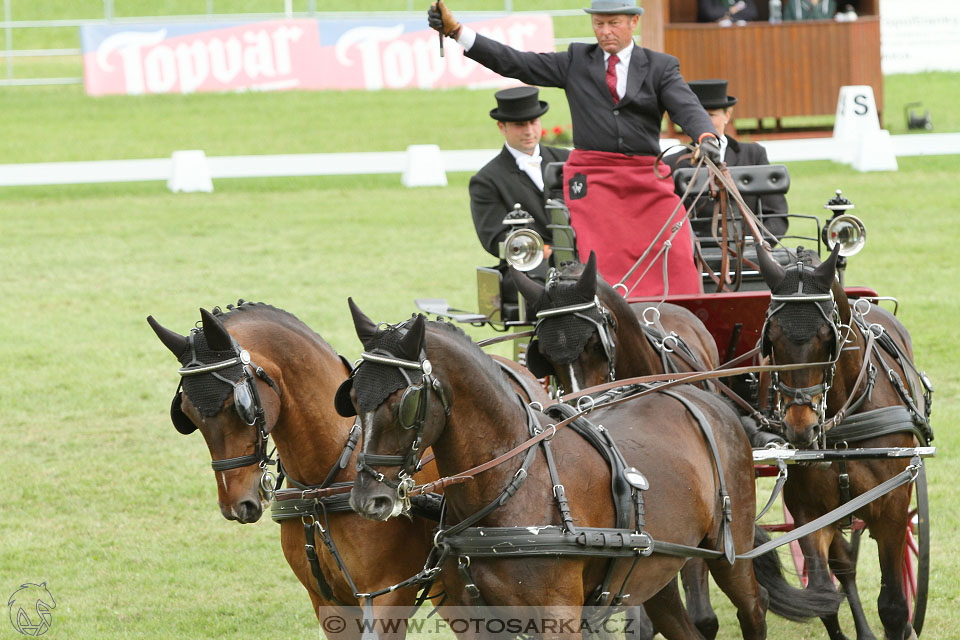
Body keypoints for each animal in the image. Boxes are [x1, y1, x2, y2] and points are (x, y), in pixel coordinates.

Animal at [340, 302, 840, 640]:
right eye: (352, 397)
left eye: (404, 404)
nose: (369, 500)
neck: (513, 484)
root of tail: (707, 399)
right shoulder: (478, 620)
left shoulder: (559, 617)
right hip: (652, 568)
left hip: (727, 553)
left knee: (753, 611)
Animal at [756, 246, 928, 640]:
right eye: (771, 339)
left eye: (827, 337)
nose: (800, 428)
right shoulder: (809, 510)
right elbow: (823, 594)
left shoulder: (892, 506)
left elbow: (893, 607)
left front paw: (902, 623)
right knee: (844, 564)